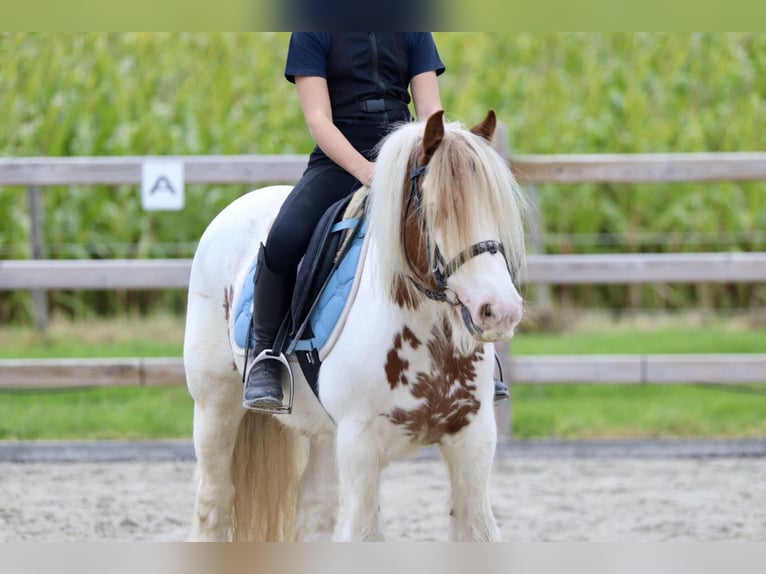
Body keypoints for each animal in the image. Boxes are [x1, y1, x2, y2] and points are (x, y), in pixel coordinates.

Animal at [184, 109, 528, 544]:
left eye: (498, 210)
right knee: (213, 503)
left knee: (313, 510)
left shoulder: (473, 440)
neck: (426, 337)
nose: (499, 311)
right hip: (215, 406)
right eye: (435, 210)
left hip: (322, 434)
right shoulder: (360, 445)